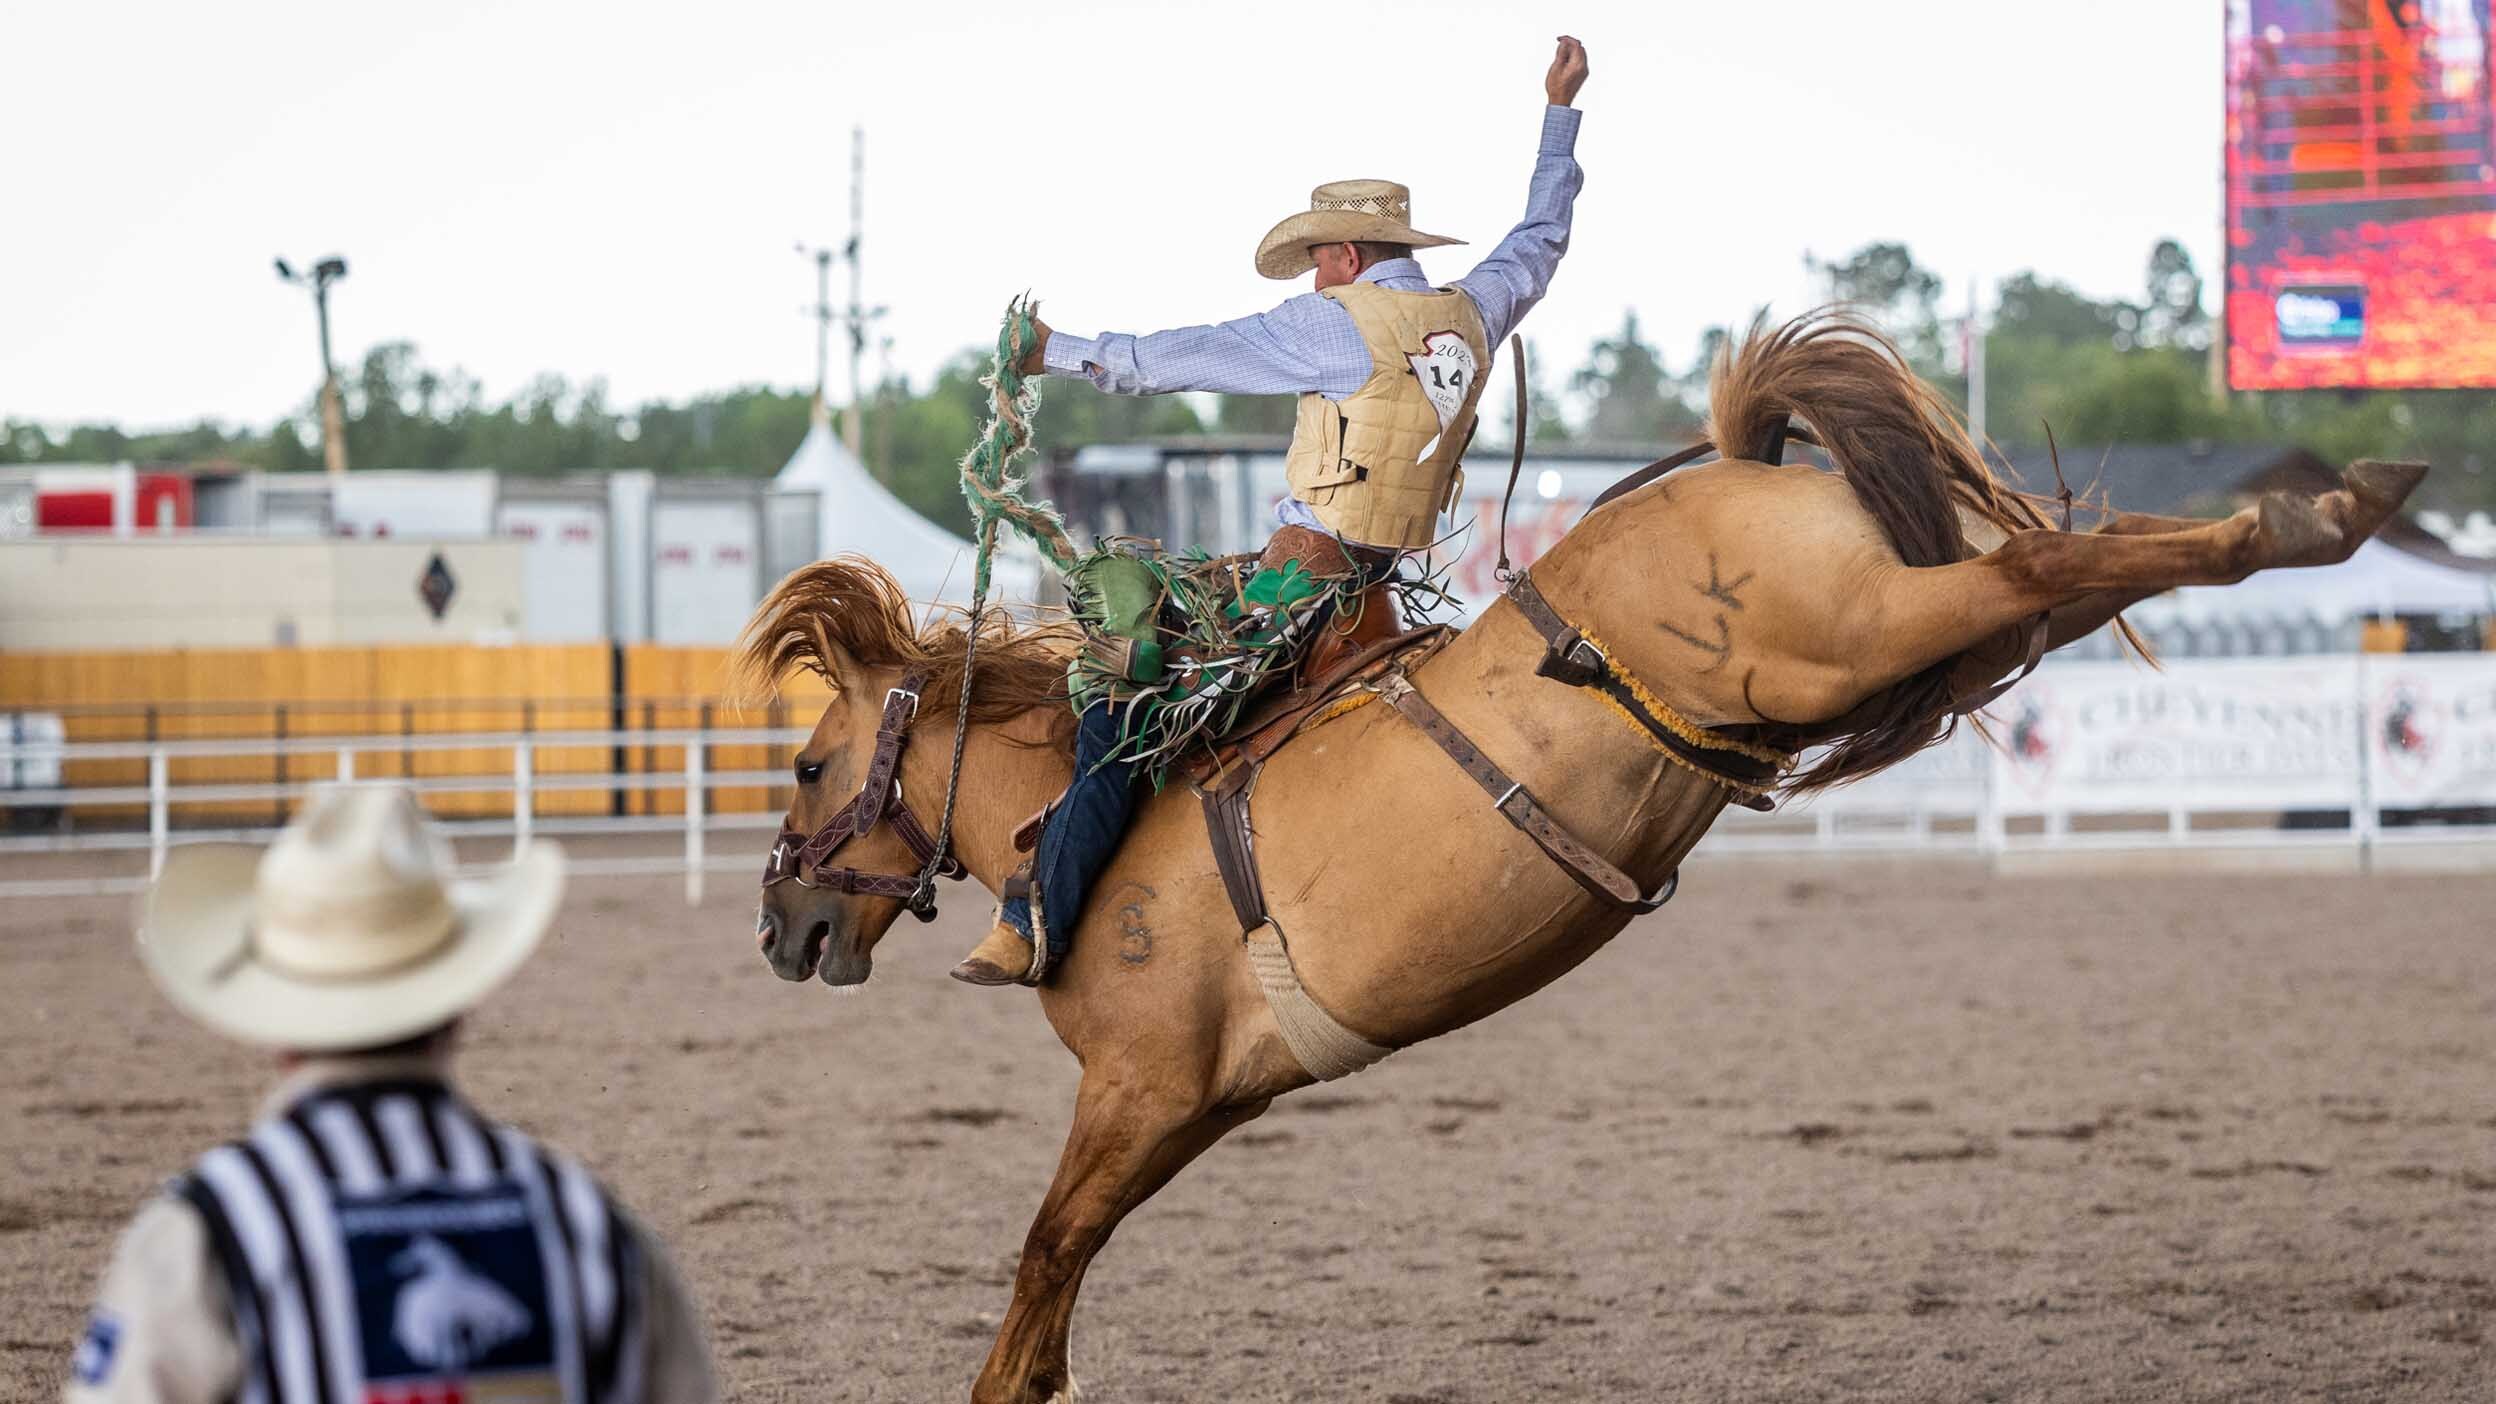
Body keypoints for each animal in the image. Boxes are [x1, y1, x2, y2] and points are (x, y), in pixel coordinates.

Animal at [733, 308, 2416, 1399]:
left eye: (808, 763)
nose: (783, 928)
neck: (1090, 806)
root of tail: (1736, 461)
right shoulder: (1201, 1104)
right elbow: (1063, 1279)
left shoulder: (1143, 1086)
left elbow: (1039, 1262)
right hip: (1872, 643)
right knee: (2053, 575)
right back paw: (2316, 514)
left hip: (1850, 637)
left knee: (2048, 561)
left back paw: (2310, 515)